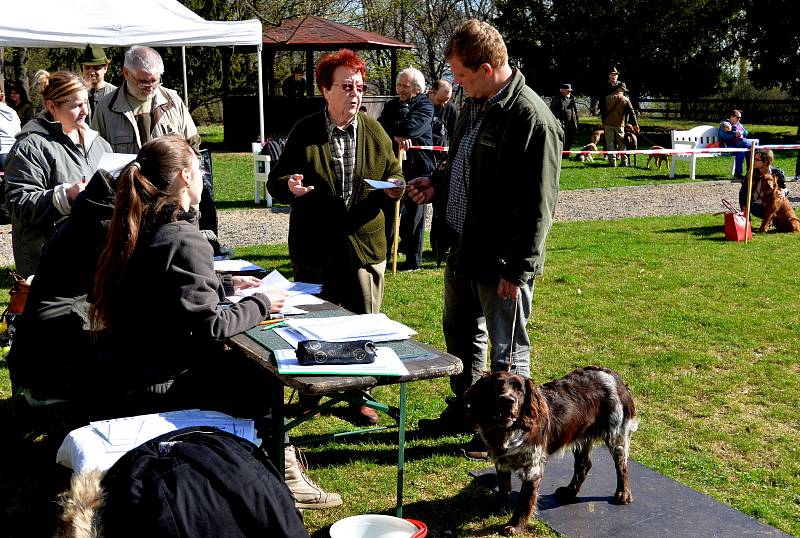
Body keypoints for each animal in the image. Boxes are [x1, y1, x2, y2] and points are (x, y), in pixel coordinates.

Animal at [462, 366, 636, 532]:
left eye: (520, 390)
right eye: (496, 386)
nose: (508, 401)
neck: (509, 430)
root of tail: (613, 375)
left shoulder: (532, 469)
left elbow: (524, 501)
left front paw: (515, 526)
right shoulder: (501, 461)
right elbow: (504, 488)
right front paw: (498, 506)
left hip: (616, 436)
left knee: (622, 466)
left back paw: (623, 494)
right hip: (580, 437)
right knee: (584, 465)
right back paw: (569, 492)